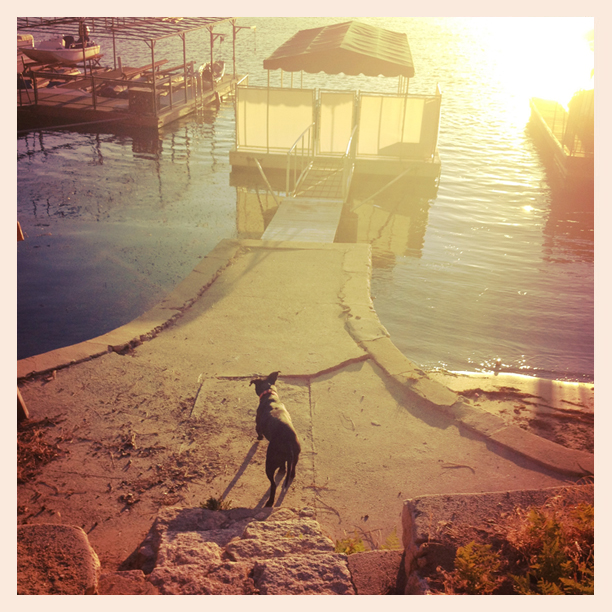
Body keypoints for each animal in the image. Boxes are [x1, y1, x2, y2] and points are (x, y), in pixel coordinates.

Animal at [249, 372, 302, 506]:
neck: (270, 395)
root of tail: (288, 443)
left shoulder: (258, 424)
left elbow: (258, 431)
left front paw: (259, 437)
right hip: (294, 457)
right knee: (291, 470)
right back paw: (287, 473)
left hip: (269, 465)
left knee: (273, 485)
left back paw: (270, 502)